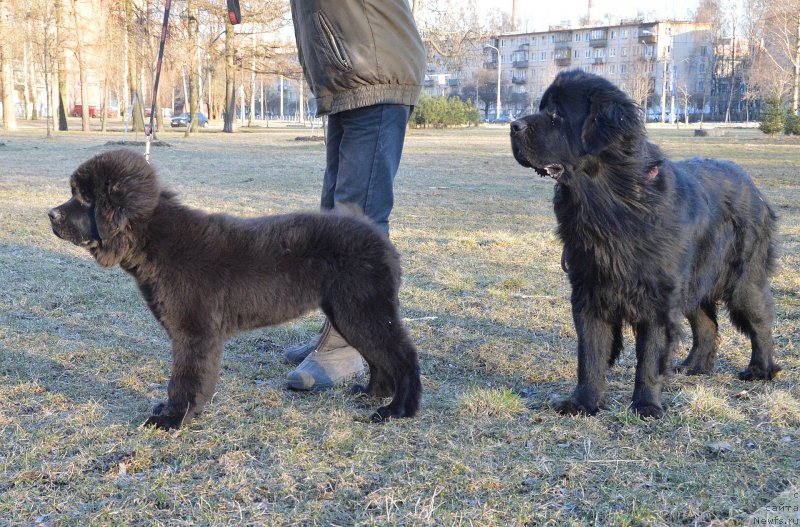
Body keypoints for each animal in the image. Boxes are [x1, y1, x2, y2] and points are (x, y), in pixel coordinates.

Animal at [48, 148, 424, 428]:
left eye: (84, 198)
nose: (51, 214)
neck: (154, 239)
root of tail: (382, 242)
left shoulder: (194, 331)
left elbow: (185, 377)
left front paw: (173, 418)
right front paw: (178, 413)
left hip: (362, 308)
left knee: (402, 355)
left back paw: (398, 410)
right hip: (348, 312)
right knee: (378, 356)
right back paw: (372, 393)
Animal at [510, 70, 780, 418]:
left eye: (557, 113)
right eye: (542, 107)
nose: (513, 125)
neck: (611, 202)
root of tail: (752, 185)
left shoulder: (658, 298)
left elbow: (650, 356)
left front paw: (646, 405)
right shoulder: (589, 290)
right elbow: (590, 354)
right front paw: (583, 402)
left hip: (741, 279)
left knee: (760, 320)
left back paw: (761, 370)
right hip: (693, 282)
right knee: (706, 324)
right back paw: (694, 367)